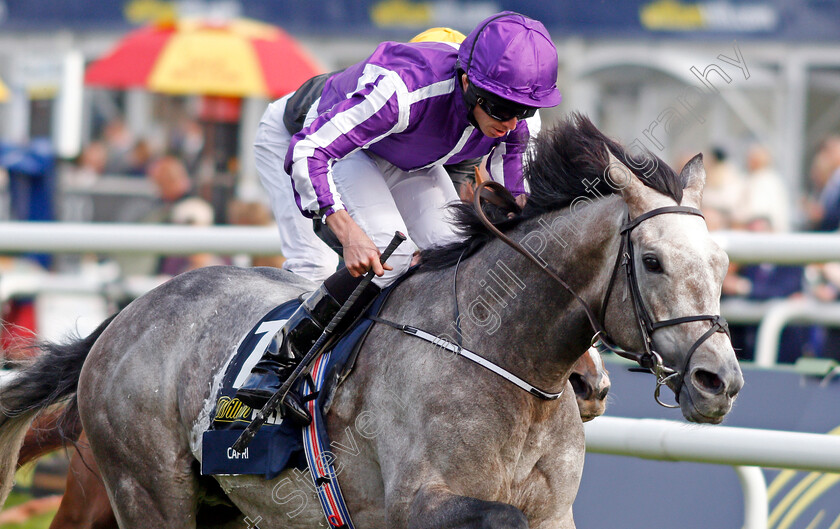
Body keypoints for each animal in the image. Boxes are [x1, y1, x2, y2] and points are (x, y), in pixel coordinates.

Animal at [0, 116, 740, 528]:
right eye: (652, 260)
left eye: (722, 261)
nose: (721, 380)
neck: (505, 358)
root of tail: (125, 316)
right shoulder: (418, 503)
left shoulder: (556, 512)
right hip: (148, 492)